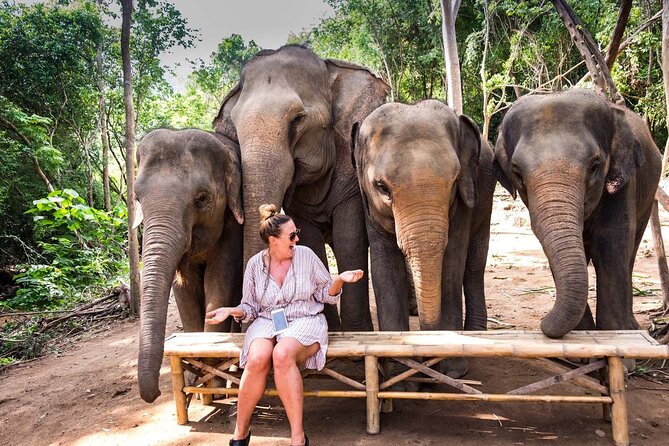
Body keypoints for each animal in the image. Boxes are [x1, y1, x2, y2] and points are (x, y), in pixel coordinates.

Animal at [133, 128, 244, 403]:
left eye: (202, 198)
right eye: (136, 197)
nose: (155, 393)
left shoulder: (234, 222)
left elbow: (219, 278)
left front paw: (214, 381)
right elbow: (183, 288)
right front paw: (198, 379)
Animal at [213, 44, 389, 331]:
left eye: (297, 119)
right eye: (235, 129)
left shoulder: (351, 174)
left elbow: (349, 239)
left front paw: (356, 332)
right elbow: (310, 241)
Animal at [352, 99, 495, 342]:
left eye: (455, 181)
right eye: (382, 187)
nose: (429, 332)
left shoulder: (464, 198)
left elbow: (452, 265)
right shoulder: (369, 206)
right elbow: (384, 268)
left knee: (475, 266)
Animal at [494, 89, 661, 338]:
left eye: (594, 165)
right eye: (517, 172)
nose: (543, 322)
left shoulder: (623, 185)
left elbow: (611, 246)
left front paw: (615, 334)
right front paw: (583, 335)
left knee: (630, 252)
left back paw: (631, 326)